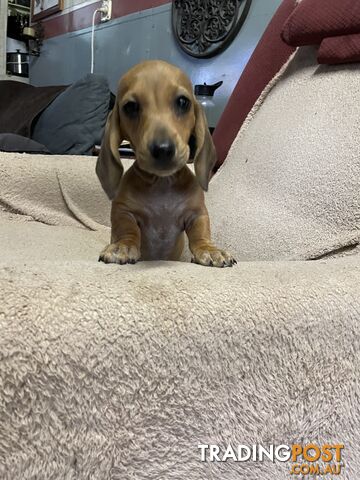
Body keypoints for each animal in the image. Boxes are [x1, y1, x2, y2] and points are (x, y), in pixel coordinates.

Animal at [96, 59, 236, 266]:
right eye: (130, 107)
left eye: (183, 102)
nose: (163, 149)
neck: (162, 184)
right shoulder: (123, 211)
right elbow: (127, 229)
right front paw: (122, 246)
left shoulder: (197, 213)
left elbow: (201, 232)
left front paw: (209, 250)